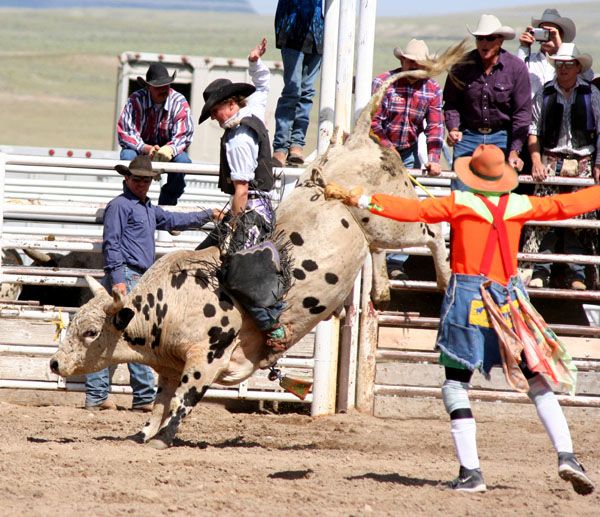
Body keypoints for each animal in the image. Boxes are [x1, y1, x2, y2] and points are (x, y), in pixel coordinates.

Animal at [51, 43, 464, 448]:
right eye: (74, 322)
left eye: (91, 332)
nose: (55, 364)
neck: (167, 303)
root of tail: (359, 139)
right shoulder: (169, 367)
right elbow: (159, 402)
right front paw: (142, 433)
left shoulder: (206, 358)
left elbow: (184, 399)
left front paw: (163, 438)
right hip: (374, 230)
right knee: (382, 249)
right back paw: (381, 290)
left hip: (392, 217)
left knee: (431, 232)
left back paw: (445, 280)